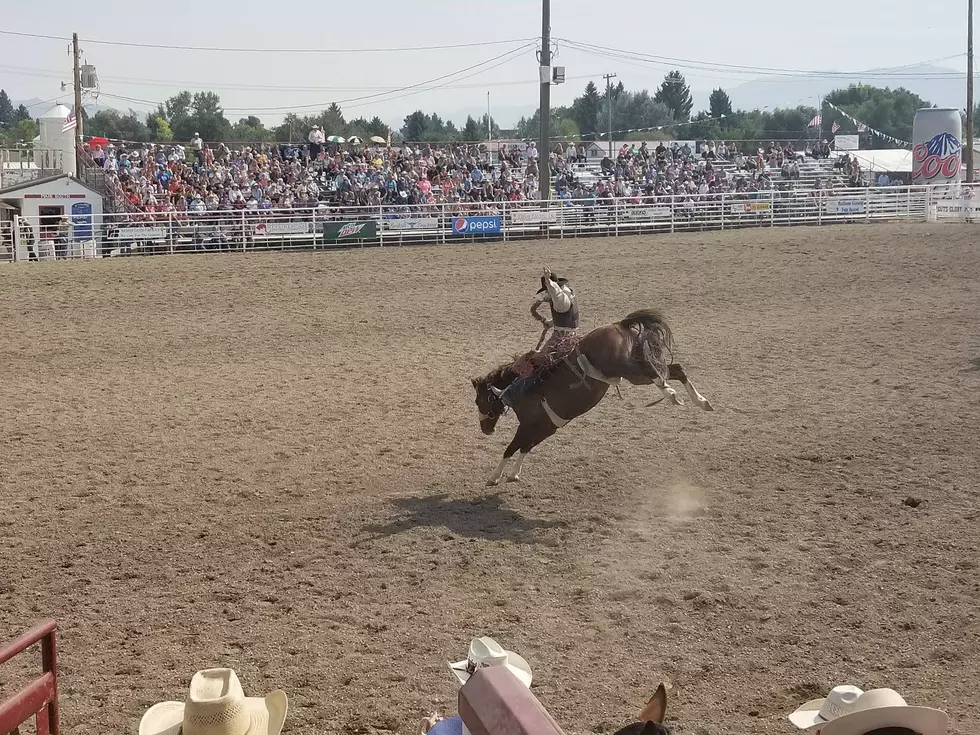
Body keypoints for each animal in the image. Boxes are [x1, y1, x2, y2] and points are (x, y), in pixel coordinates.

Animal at [468, 310, 712, 486]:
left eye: (479, 401)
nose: (485, 429)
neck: (516, 388)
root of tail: (620, 325)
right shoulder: (546, 427)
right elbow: (526, 447)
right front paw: (514, 474)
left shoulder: (528, 425)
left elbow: (511, 448)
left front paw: (494, 477)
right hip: (634, 372)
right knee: (675, 369)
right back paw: (701, 402)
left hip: (625, 367)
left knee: (658, 373)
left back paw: (671, 394)